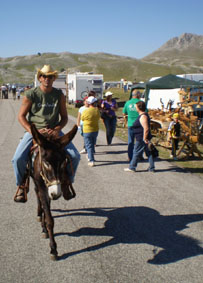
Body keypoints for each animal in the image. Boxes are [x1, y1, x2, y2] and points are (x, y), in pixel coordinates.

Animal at [28, 123, 78, 260]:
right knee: (37, 195)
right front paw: (53, 249)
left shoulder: (48, 190)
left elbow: (47, 211)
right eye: (46, 163)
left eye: (63, 162)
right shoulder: (42, 187)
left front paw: (45, 228)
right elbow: (49, 218)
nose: (56, 193)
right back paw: (39, 215)